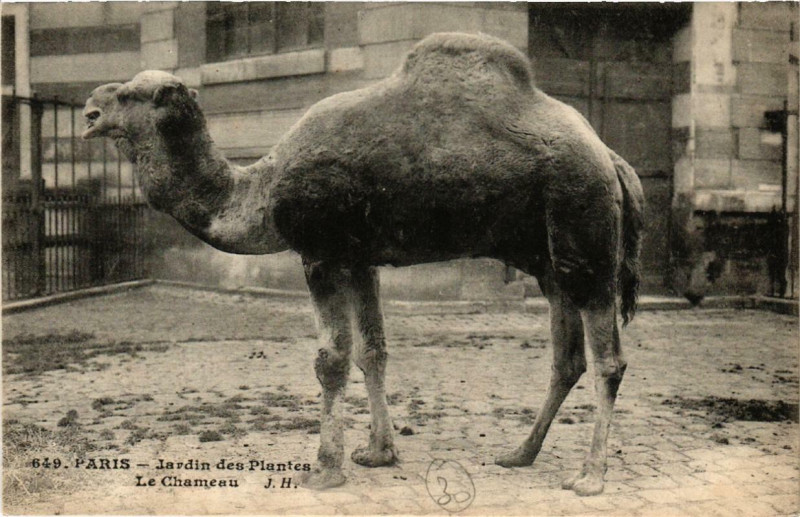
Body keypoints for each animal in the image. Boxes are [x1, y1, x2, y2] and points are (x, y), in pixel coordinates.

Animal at [82, 33, 644, 497]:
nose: (89, 109)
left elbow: (330, 359)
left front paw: (324, 468)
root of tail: (613, 160)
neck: (258, 190)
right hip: (553, 262)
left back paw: (590, 476)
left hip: (585, 235)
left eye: (129, 94)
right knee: (566, 359)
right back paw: (519, 453)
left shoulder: (321, 253)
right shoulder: (360, 260)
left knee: (607, 360)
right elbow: (372, 351)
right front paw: (378, 452)